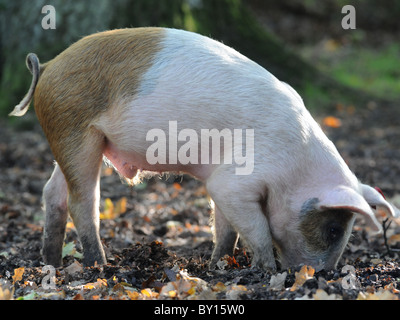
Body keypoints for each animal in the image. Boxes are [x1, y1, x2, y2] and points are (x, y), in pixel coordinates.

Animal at [10, 28, 398, 272]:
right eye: (333, 230)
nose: (322, 275)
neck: (294, 170)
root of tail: (47, 68)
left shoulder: (223, 183)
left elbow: (225, 228)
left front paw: (218, 266)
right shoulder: (234, 182)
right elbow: (256, 228)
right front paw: (263, 270)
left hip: (70, 140)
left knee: (53, 193)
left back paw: (51, 262)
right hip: (75, 131)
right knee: (83, 201)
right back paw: (100, 265)